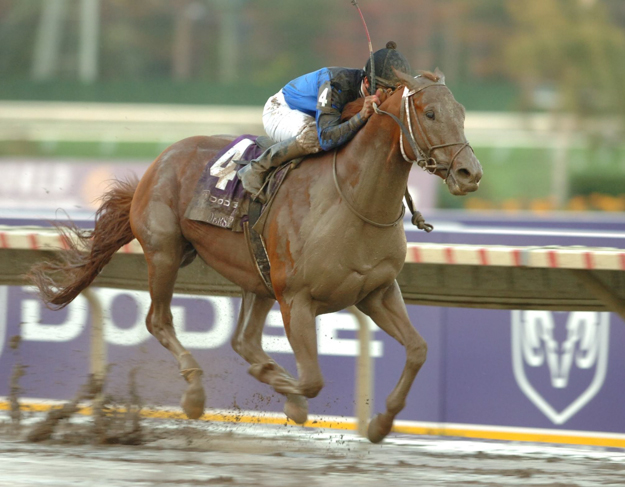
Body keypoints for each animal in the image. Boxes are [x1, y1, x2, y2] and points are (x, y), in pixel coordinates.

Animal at [31, 69, 482, 446]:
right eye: (430, 113)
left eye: (461, 112)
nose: (470, 173)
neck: (352, 198)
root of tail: (158, 161)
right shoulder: (297, 299)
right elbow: (312, 380)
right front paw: (293, 401)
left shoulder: (376, 290)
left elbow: (418, 349)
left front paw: (381, 422)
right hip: (165, 251)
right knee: (159, 320)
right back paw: (194, 393)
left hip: (256, 278)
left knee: (243, 340)